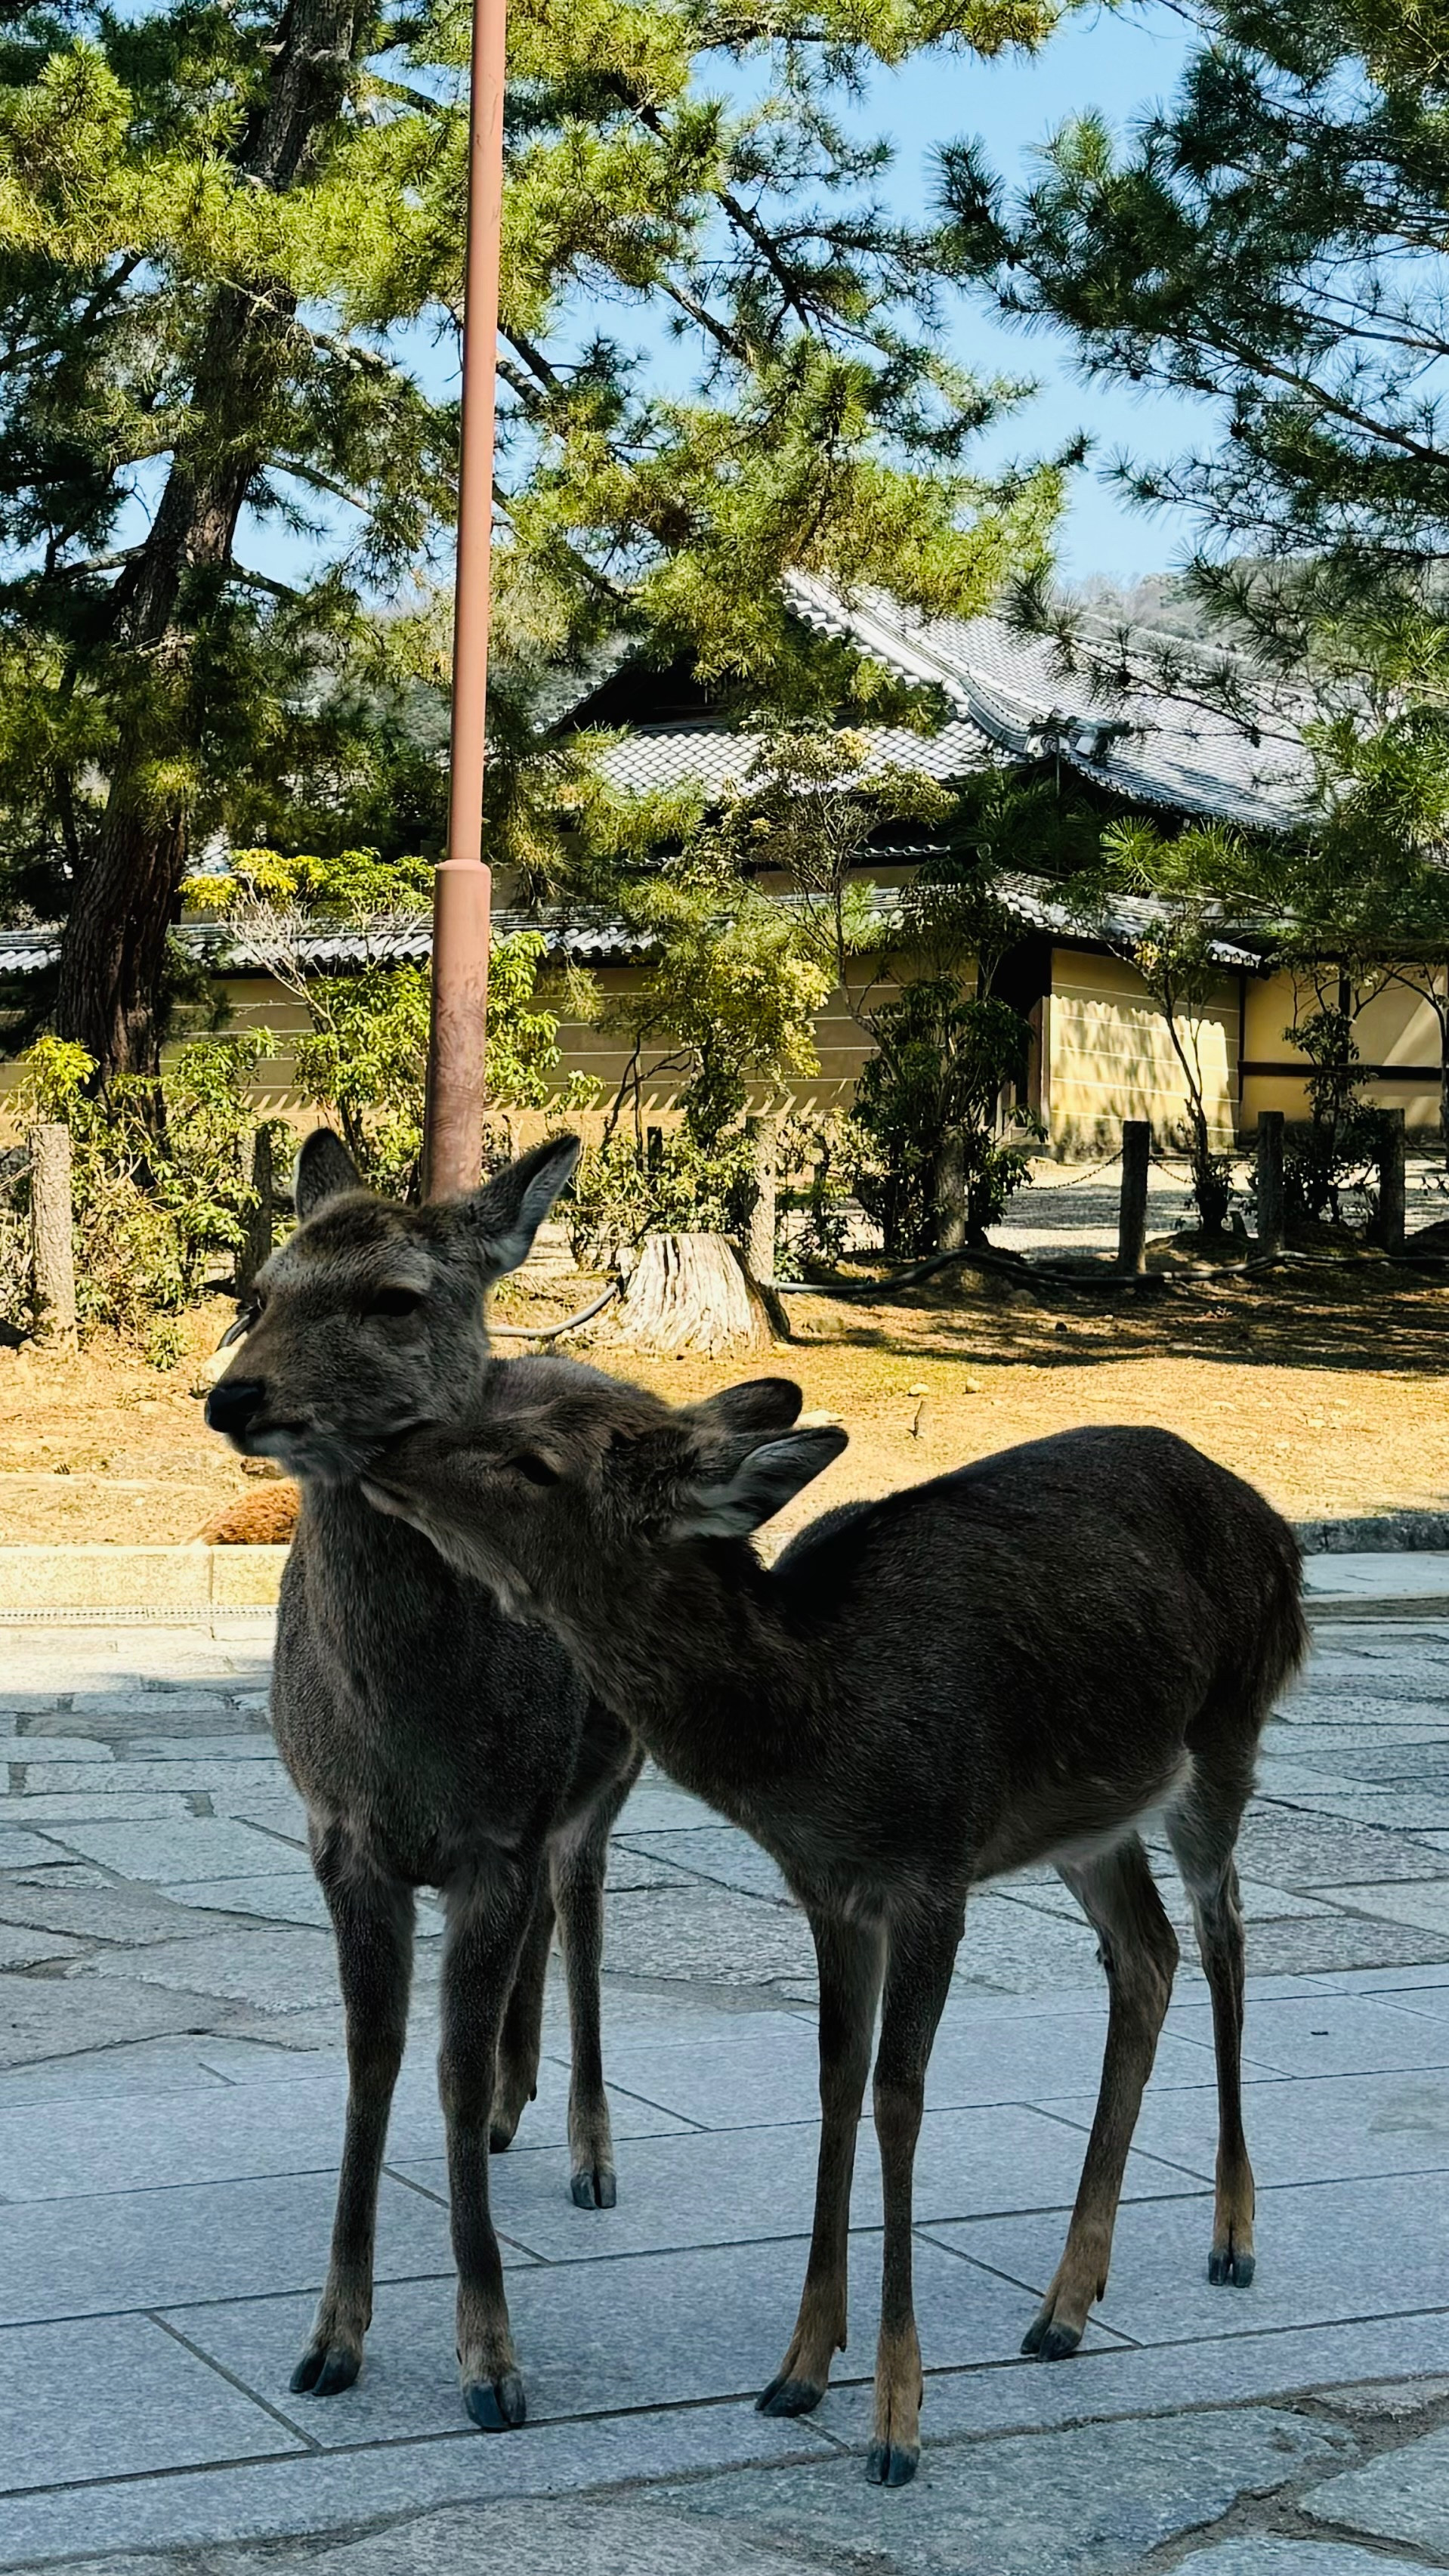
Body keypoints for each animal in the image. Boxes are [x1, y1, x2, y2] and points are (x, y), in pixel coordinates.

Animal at [200, 1143, 638, 2432]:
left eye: (394, 1298)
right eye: (259, 1292)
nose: (233, 1396)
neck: (413, 1742)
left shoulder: (496, 1837)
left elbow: (442, 2065)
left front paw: (490, 2361)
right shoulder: (341, 1836)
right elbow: (371, 2062)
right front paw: (329, 2340)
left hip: (611, 1771)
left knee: (582, 1909)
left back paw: (589, 2152)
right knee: (548, 1923)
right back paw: (512, 2106)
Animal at [363, 1359, 1318, 2483]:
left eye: (535, 1457)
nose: (386, 1446)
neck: (820, 1733)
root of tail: (1279, 1531)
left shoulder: (933, 1869)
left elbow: (899, 2098)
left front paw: (896, 2422)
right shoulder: (828, 1891)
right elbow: (833, 2080)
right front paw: (801, 2367)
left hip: (1223, 1733)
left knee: (1223, 1933)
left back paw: (1231, 2239)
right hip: (1090, 1821)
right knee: (1145, 1953)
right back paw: (1067, 2305)